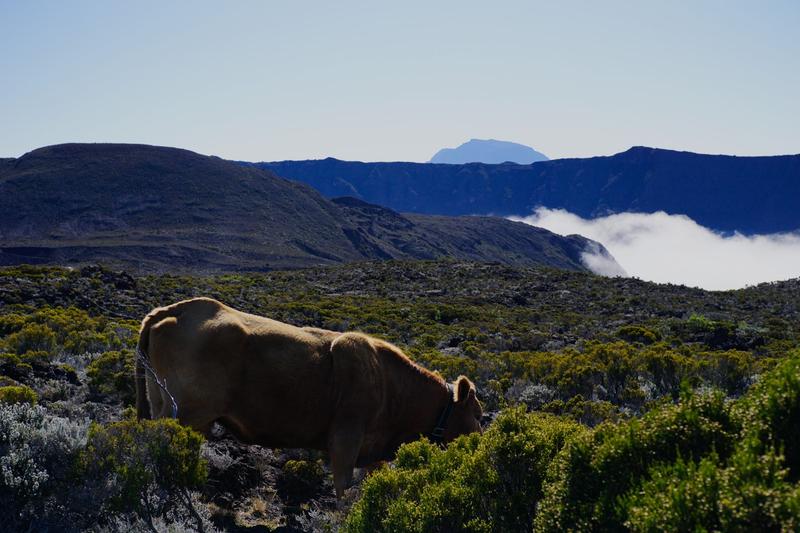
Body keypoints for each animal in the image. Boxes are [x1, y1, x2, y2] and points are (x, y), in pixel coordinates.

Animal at [135, 298, 484, 496]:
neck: (392, 386)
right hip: (189, 414)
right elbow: (342, 492)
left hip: (161, 402)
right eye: (478, 415)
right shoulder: (345, 439)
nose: (481, 442)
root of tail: (171, 311)